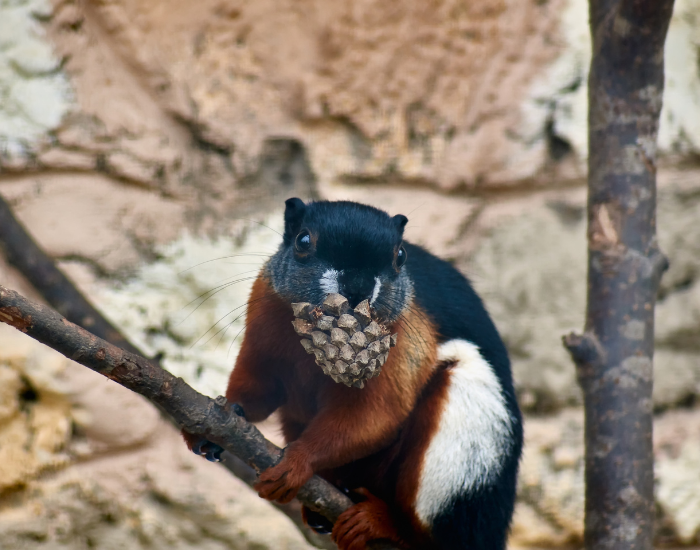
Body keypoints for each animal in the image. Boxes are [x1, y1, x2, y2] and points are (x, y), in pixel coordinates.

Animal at [183, 198, 523, 550]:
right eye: (302, 241)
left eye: (400, 256)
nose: (357, 287)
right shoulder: (264, 320)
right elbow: (257, 389)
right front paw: (221, 415)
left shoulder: (401, 352)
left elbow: (371, 416)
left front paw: (297, 461)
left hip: (461, 452)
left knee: (426, 530)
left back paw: (381, 523)